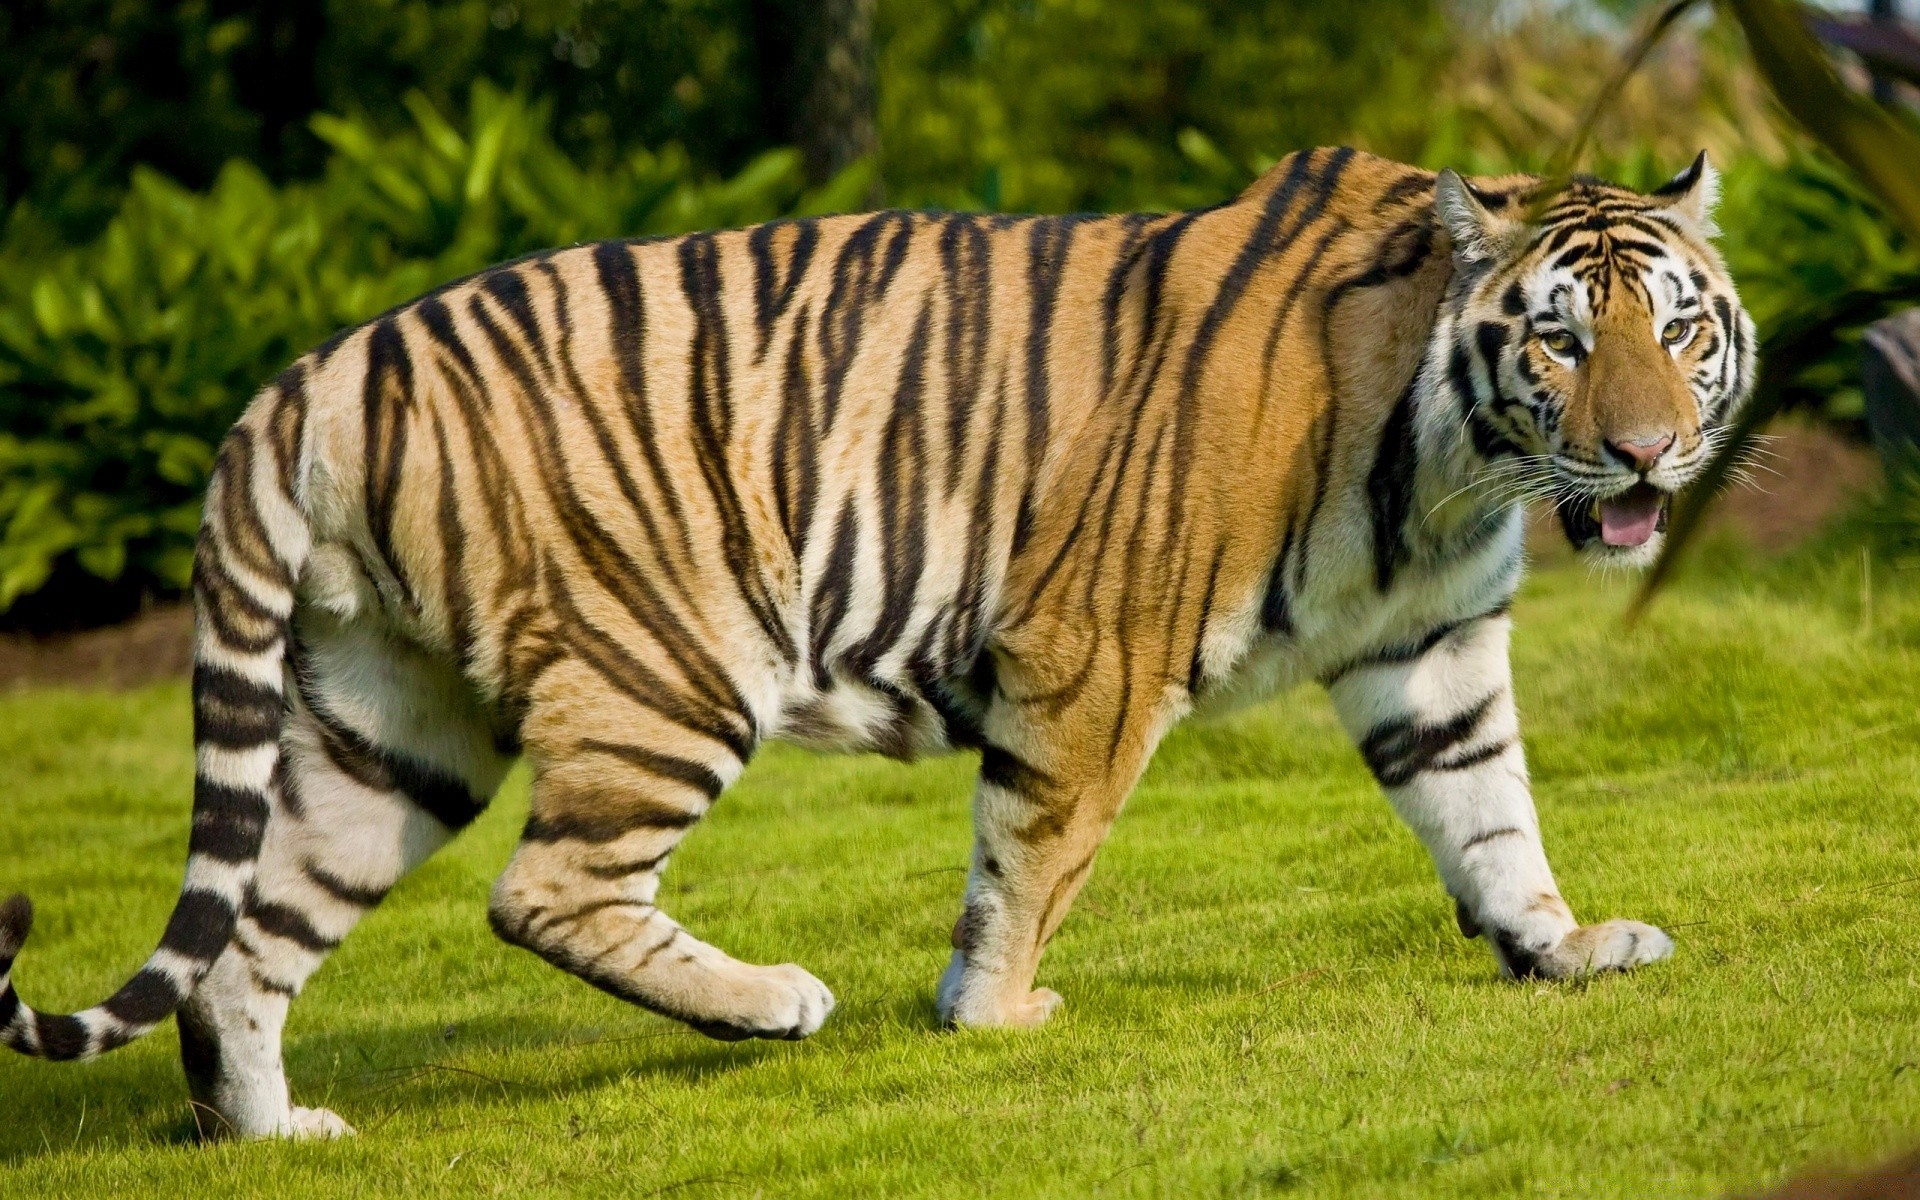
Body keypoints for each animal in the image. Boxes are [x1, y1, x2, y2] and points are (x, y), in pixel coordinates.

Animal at [0, 144, 1751, 1136]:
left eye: (1678, 329)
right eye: (1561, 341)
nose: (1649, 456)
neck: (1452, 467)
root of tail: (314, 371)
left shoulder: (1432, 649)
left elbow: (1489, 809)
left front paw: (1561, 946)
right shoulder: (1093, 649)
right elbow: (1036, 853)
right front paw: (996, 1014)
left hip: (390, 722)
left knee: (250, 942)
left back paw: (274, 1133)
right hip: (669, 667)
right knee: (543, 888)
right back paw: (772, 1002)